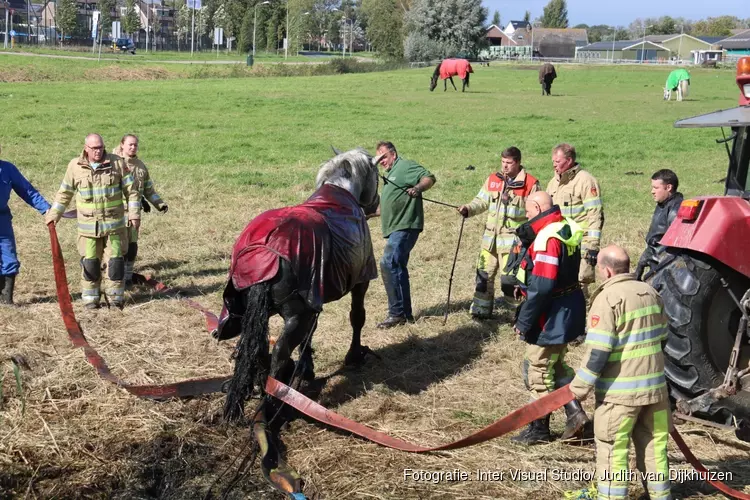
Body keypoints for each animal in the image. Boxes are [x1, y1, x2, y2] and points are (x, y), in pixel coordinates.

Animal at [216, 148, 384, 422]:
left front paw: (307, 369)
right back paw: (273, 404)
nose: (375, 204)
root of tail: (265, 247)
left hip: (254, 313)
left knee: (257, 349)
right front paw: (354, 355)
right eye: (377, 175)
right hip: (295, 316)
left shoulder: (313, 303)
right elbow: (357, 317)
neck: (341, 190)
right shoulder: (360, 282)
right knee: (279, 353)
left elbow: (310, 335)